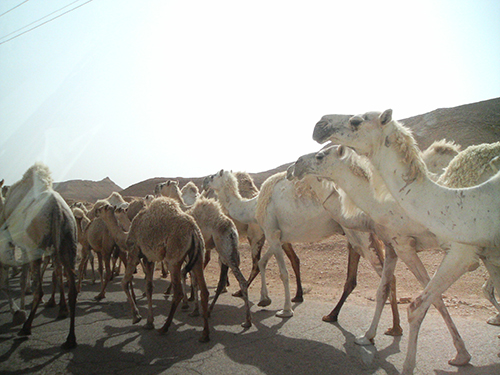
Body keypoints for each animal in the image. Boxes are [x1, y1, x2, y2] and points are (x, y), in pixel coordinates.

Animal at [0, 163, 78, 352]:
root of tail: (57, 208)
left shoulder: (17, 243)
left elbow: (17, 277)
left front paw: (19, 310)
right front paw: (61, 308)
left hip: (36, 244)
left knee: (40, 288)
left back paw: (26, 327)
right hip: (68, 241)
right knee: (72, 288)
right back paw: (70, 339)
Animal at [312, 108, 500, 374]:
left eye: (356, 120)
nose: (320, 124)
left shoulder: (422, 247)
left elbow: (429, 298)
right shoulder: (393, 246)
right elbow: (384, 289)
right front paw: (368, 336)